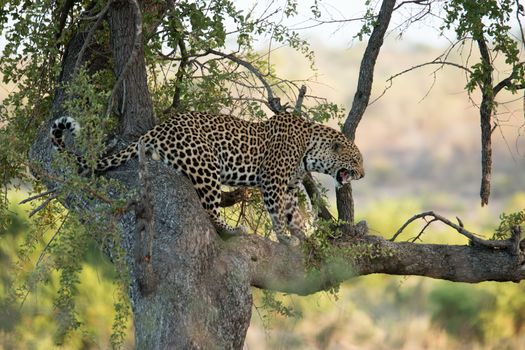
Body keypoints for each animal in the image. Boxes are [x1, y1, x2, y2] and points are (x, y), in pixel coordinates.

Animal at [51, 112, 364, 243]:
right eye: (356, 160)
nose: (362, 174)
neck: (310, 148)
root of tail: (159, 128)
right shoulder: (273, 181)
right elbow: (277, 213)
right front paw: (286, 238)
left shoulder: (287, 186)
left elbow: (292, 213)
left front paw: (303, 235)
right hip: (206, 166)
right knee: (210, 210)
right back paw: (233, 230)